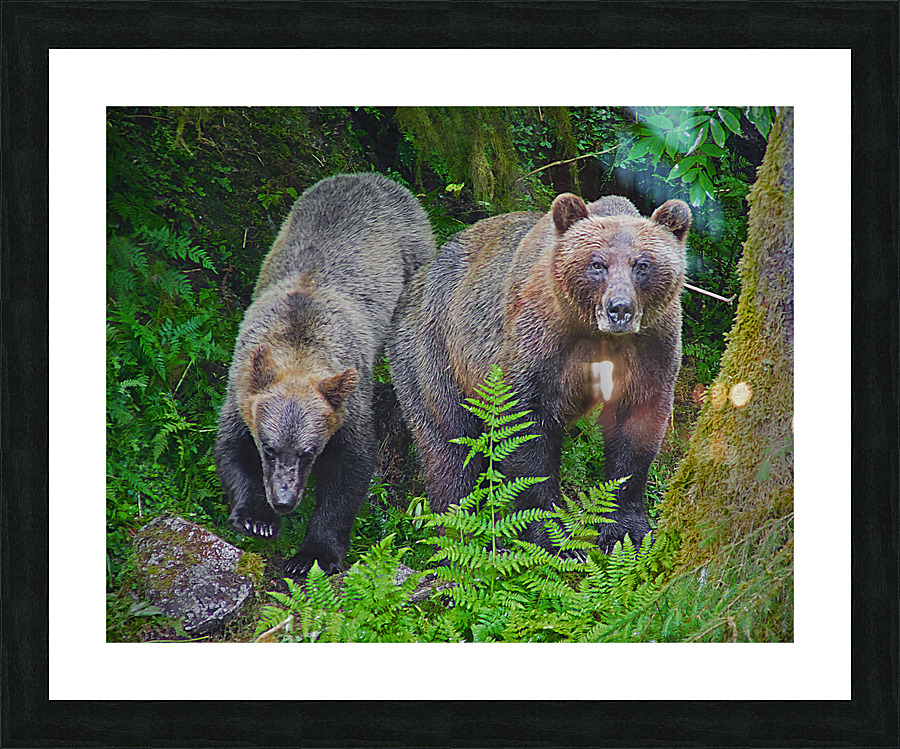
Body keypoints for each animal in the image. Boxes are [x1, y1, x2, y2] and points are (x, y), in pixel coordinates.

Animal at [215, 172, 436, 576]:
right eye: (268, 448)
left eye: (308, 452)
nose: (284, 500)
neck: (298, 351)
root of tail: (374, 177)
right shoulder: (243, 386)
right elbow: (231, 448)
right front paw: (256, 518)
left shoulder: (349, 403)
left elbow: (348, 471)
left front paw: (313, 554)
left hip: (413, 257)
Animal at [388, 193, 690, 552]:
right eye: (597, 264)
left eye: (642, 264)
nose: (620, 308)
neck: (600, 336)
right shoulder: (540, 344)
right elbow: (525, 432)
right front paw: (557, 540)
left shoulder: (651, 347)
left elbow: (637, 428)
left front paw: (625, 529)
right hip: (433, 351)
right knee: (449, 445)